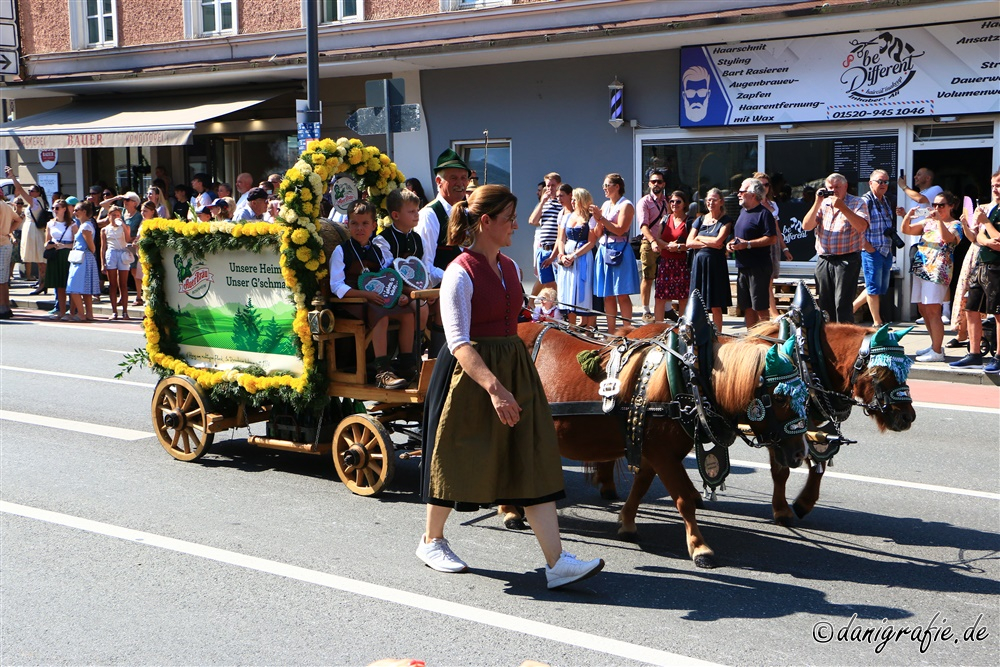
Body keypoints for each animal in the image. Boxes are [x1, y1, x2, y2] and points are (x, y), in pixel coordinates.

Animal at [520, 324, 808, 568]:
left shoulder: (651, 451)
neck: (689, 383)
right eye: (780, 397)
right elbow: (682, 499)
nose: (799, 453)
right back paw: (513, 512)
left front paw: (627, 522)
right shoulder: (663, 455)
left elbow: (641, 486)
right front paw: (700, 547)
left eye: (803, 393)